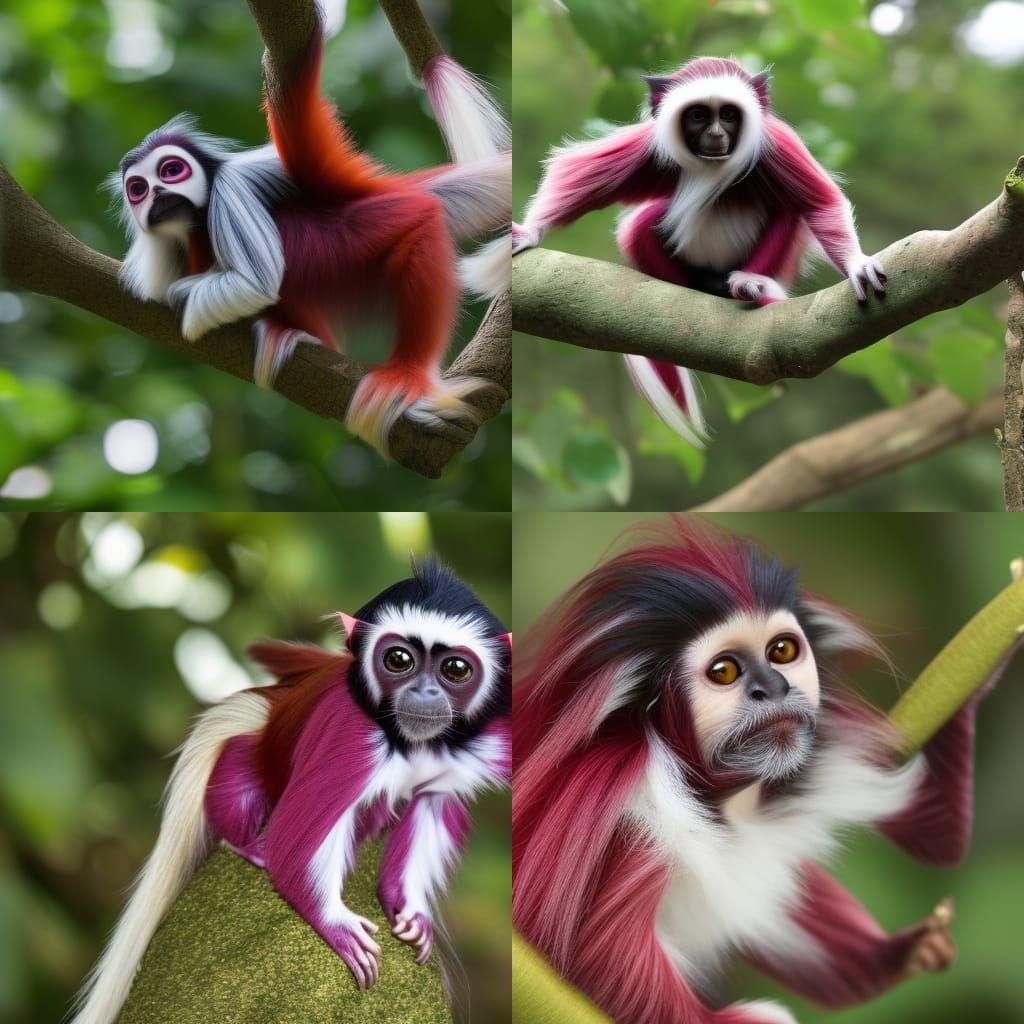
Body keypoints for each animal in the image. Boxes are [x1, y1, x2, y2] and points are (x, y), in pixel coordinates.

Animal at [71, 557, 511, 1024]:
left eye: (455, 669)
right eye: (399, 660)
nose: (424, 693)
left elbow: (433, 803)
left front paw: (406, 908)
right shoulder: (350, 738)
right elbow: (302, 833)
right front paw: (335, 925)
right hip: (249, 759)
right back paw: (247, 843)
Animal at [111, 8, 511, 455]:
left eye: (171, 170)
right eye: (138, 189)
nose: (160, 193)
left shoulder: (229, 193)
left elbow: (255, 283)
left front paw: (187, 298)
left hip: (352, 231)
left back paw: (406, 375)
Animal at [513, 57, 885, 447]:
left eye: (729, 115)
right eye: (698, 116)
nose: (717, 135)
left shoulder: (776, 144)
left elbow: (819, 203)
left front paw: (856, 263)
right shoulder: (649, 146)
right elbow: (582, 179)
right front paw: (531, 230)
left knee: (788, 210)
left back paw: (748, 284)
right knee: (641, 225)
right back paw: (696, 285)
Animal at [513, 516, 1009, 1024]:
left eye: (782, 651)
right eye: (725, 671)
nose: (773, 687)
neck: (715, 795)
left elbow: (933, 835)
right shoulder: (627, 794)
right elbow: (583, 956)